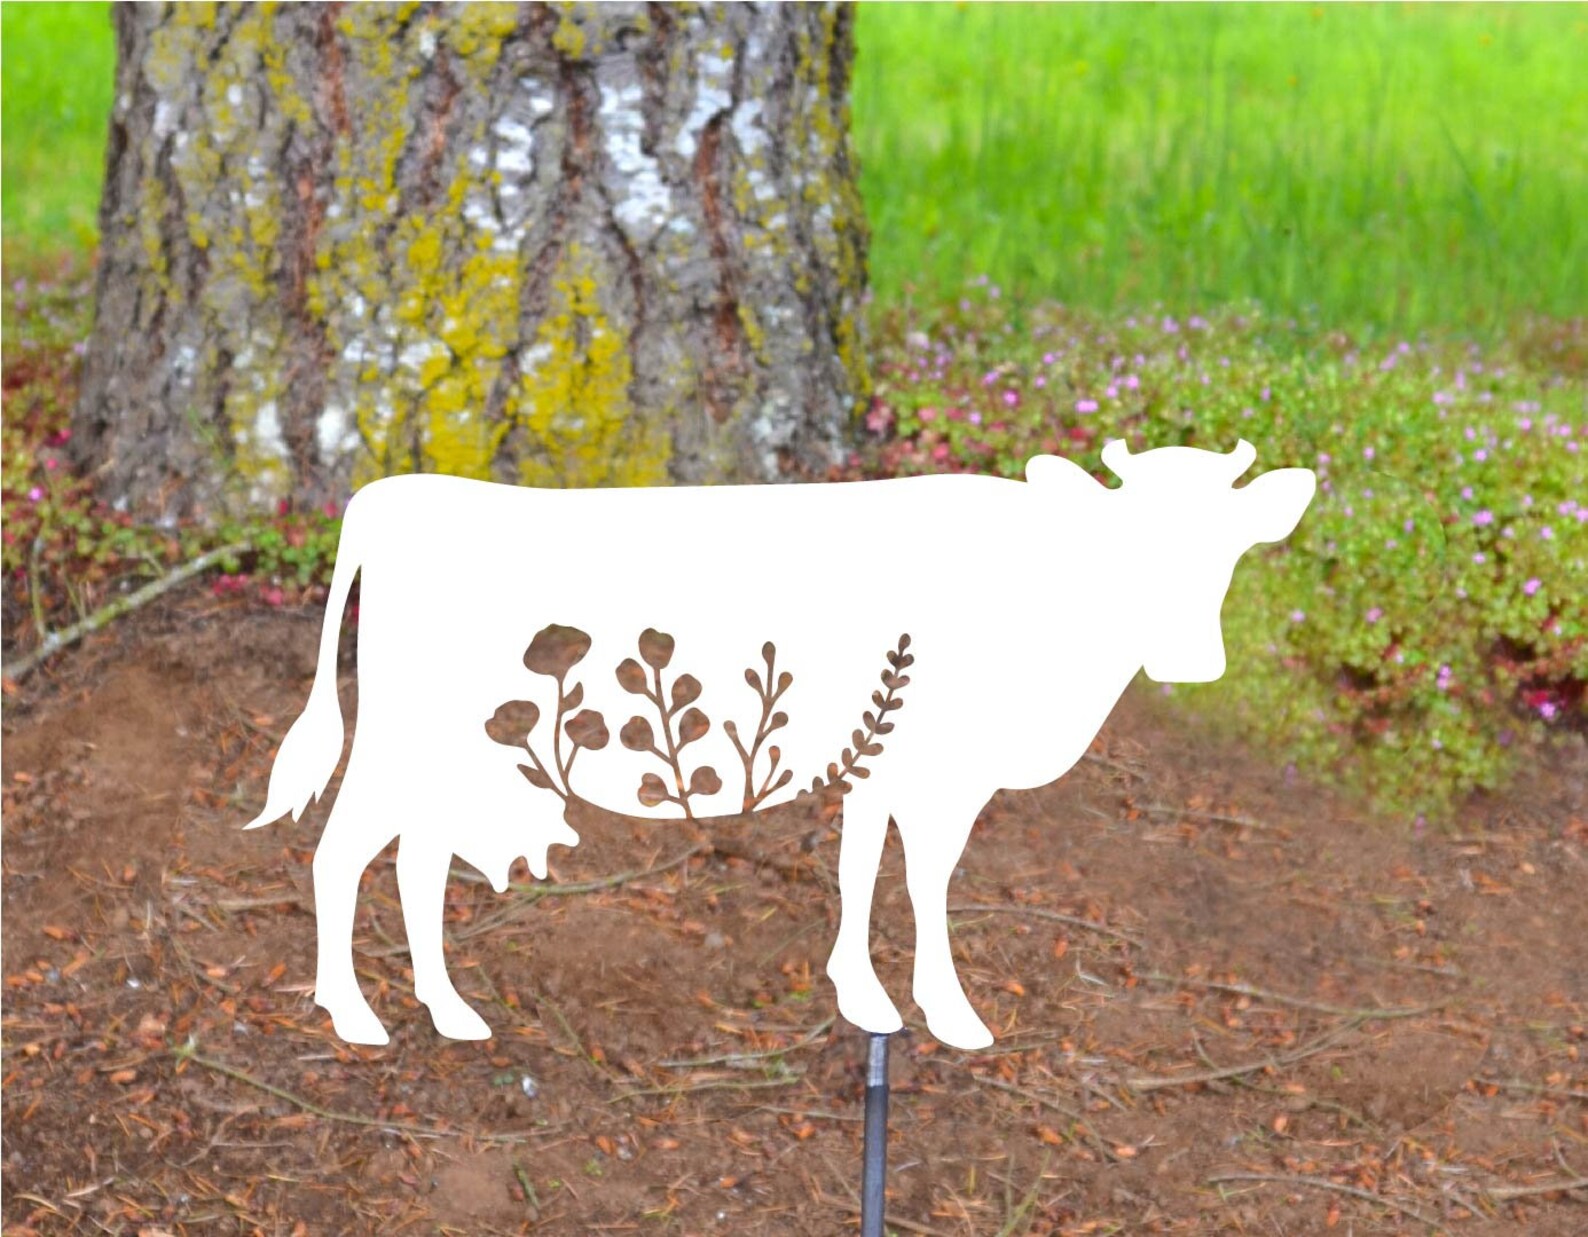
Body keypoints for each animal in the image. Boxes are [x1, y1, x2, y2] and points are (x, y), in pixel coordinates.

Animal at [246, 439, 1314, 1050]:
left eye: (1228, 546)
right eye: (1127, 542)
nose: (1191, 655)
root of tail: (391, 494)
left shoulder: (888, 762)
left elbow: (860, 862)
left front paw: (864, 997)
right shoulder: (945, 772)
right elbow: (922, 876)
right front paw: (948, 1012)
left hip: (450, 744)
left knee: (416, 859)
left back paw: (450, 1013)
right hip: (406, 731)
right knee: (342, 852)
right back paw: (356, 1016)